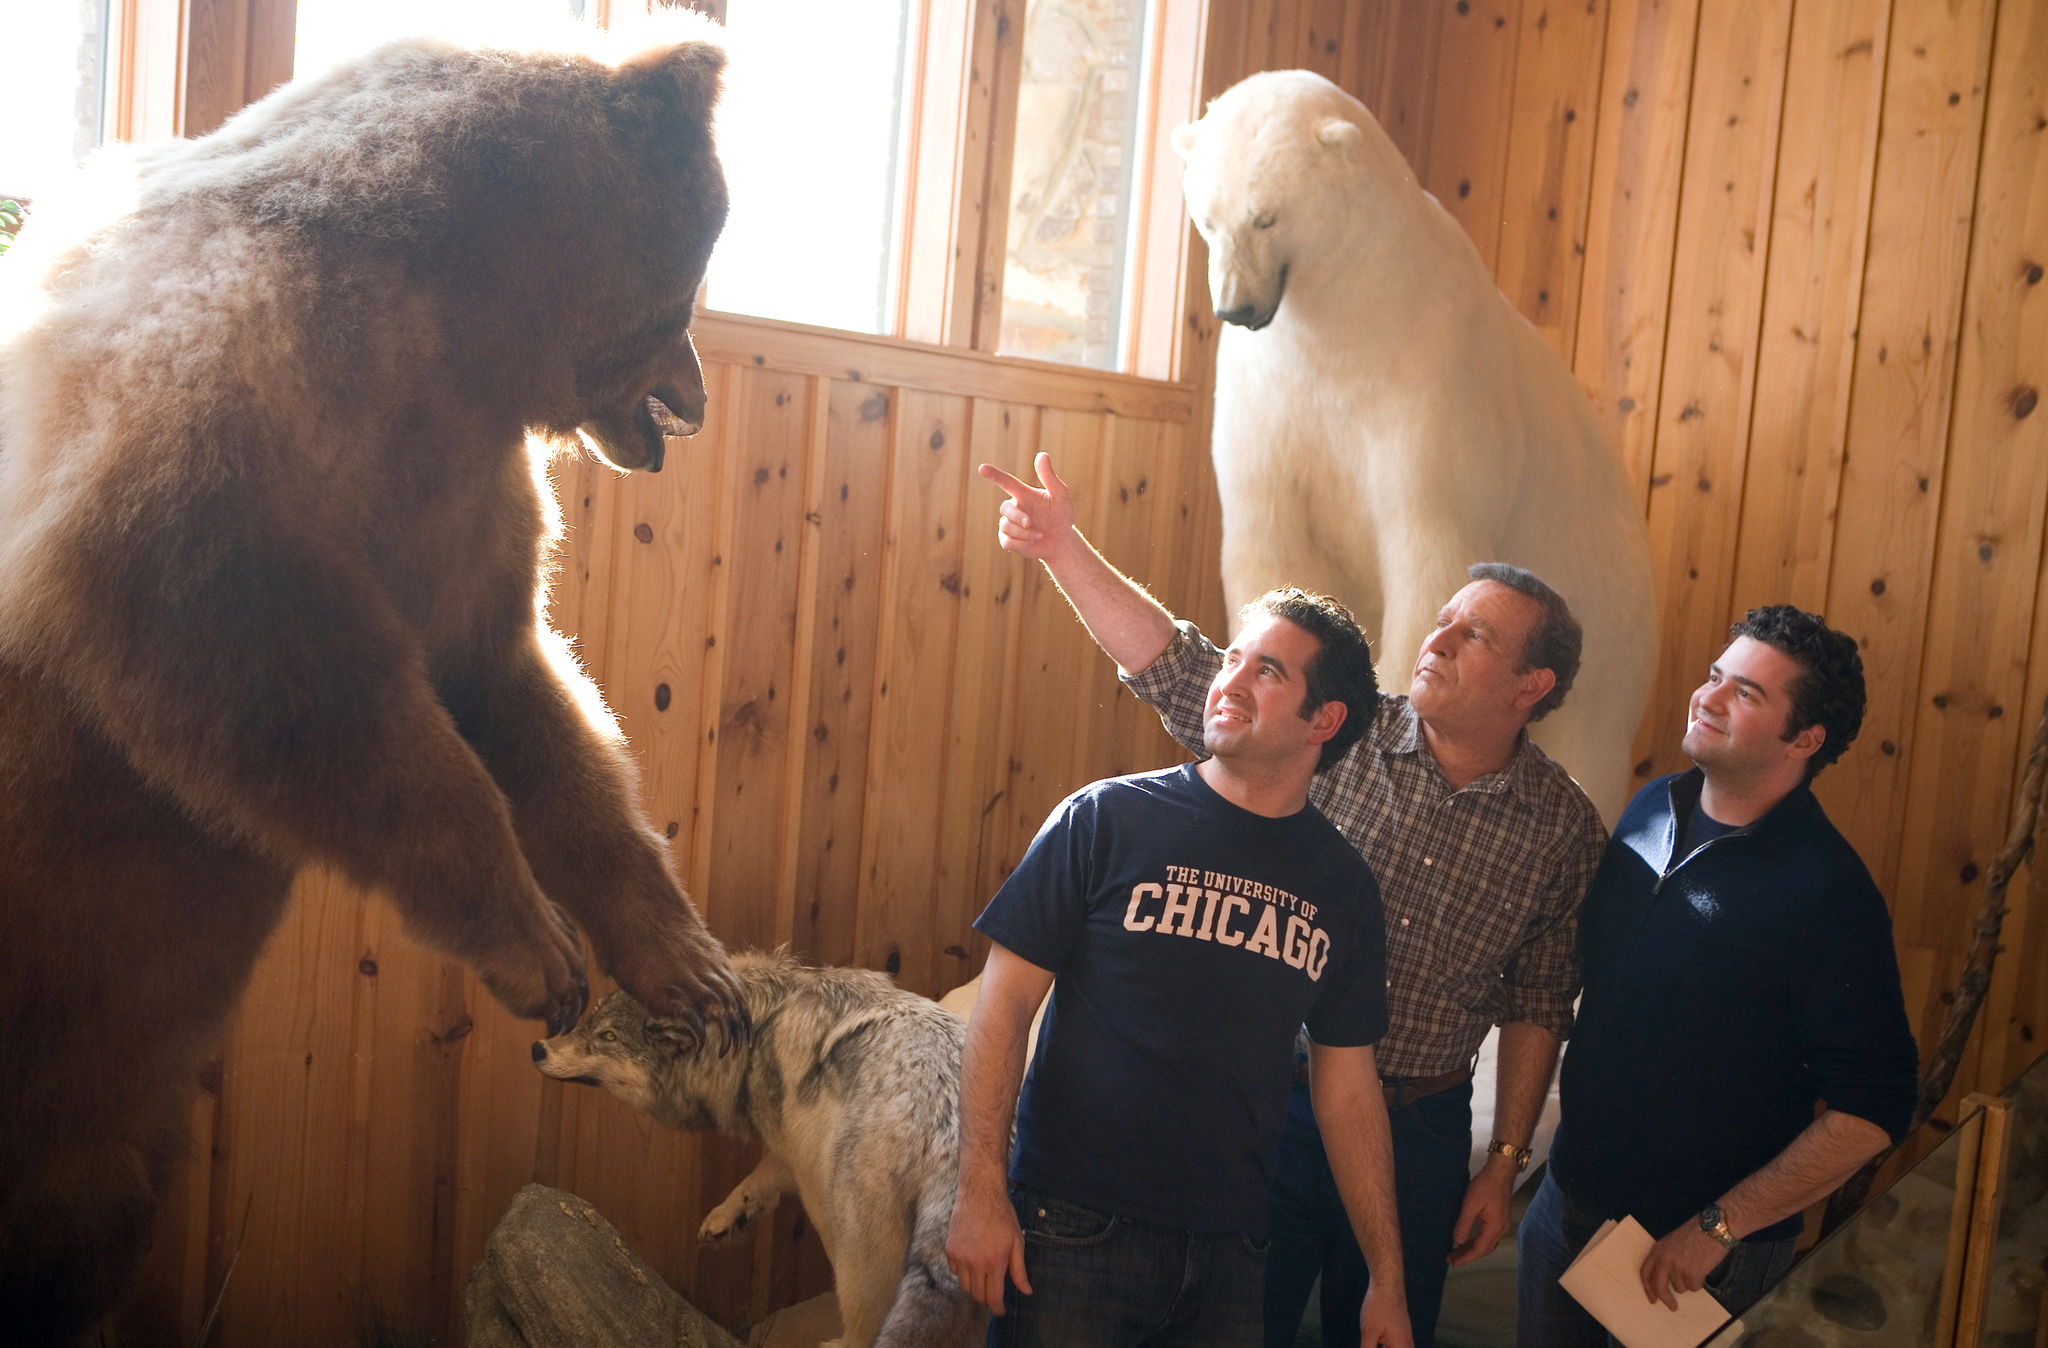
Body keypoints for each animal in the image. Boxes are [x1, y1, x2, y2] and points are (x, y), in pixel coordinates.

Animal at [0, 18, 753, 1335]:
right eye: (687, 289)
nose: (692, 403)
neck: (452, 327)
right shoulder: (231, 397)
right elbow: (283, 670)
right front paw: (541, 948)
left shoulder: (462, 497)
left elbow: (527, 702)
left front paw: (689, 967)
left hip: (105, 1105)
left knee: (85, 1217)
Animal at [1179, 76, 1654, 827]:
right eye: (1206, 220)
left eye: (1266, 218)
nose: (1236, 309)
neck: (1346, 318)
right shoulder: (1272, 397)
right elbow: (1268, 533)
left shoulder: (1427, 373)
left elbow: (1427, 540)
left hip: (1606, 621)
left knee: (1592, 741)